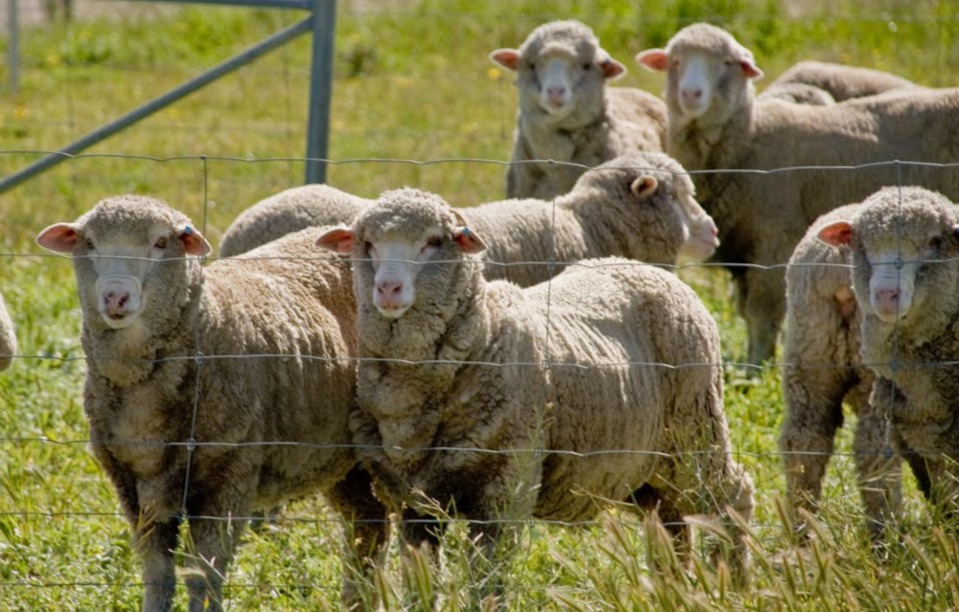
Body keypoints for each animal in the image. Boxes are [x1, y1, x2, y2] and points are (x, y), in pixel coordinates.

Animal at [36, 195, 389, 612]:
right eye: (89, 242)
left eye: (160, 243)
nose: (115, 297)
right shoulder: (132, 484)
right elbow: (158, 575)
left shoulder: (229, 473)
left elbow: (204, 574)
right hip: (342, 461)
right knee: (368, 527)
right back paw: (357, 601)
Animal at [316, 188, 755, 600]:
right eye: (367, 243)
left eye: (434, 241)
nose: (388, 288)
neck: (483, 335)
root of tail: (652, 271)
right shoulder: (415, 504)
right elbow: (421, 584)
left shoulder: (503, 492)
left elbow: (486, 585)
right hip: (646, 464)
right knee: (671, 522)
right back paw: (674, 589)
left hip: (696, 431)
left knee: (732, 498)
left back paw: (735, 585)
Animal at [636, 22, 959, 365]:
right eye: (675, 61)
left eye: (726, 63)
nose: (690, 94)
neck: (747, 139)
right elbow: (746, 312)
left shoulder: (773, 243)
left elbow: (761, 316)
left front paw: (757, 366)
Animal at [779, 203, 902, 538]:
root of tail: (838, 264)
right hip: (876, 371)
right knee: (876, 448)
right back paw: (887, 532)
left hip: (809, 354)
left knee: (804, 443)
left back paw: (803, 532)